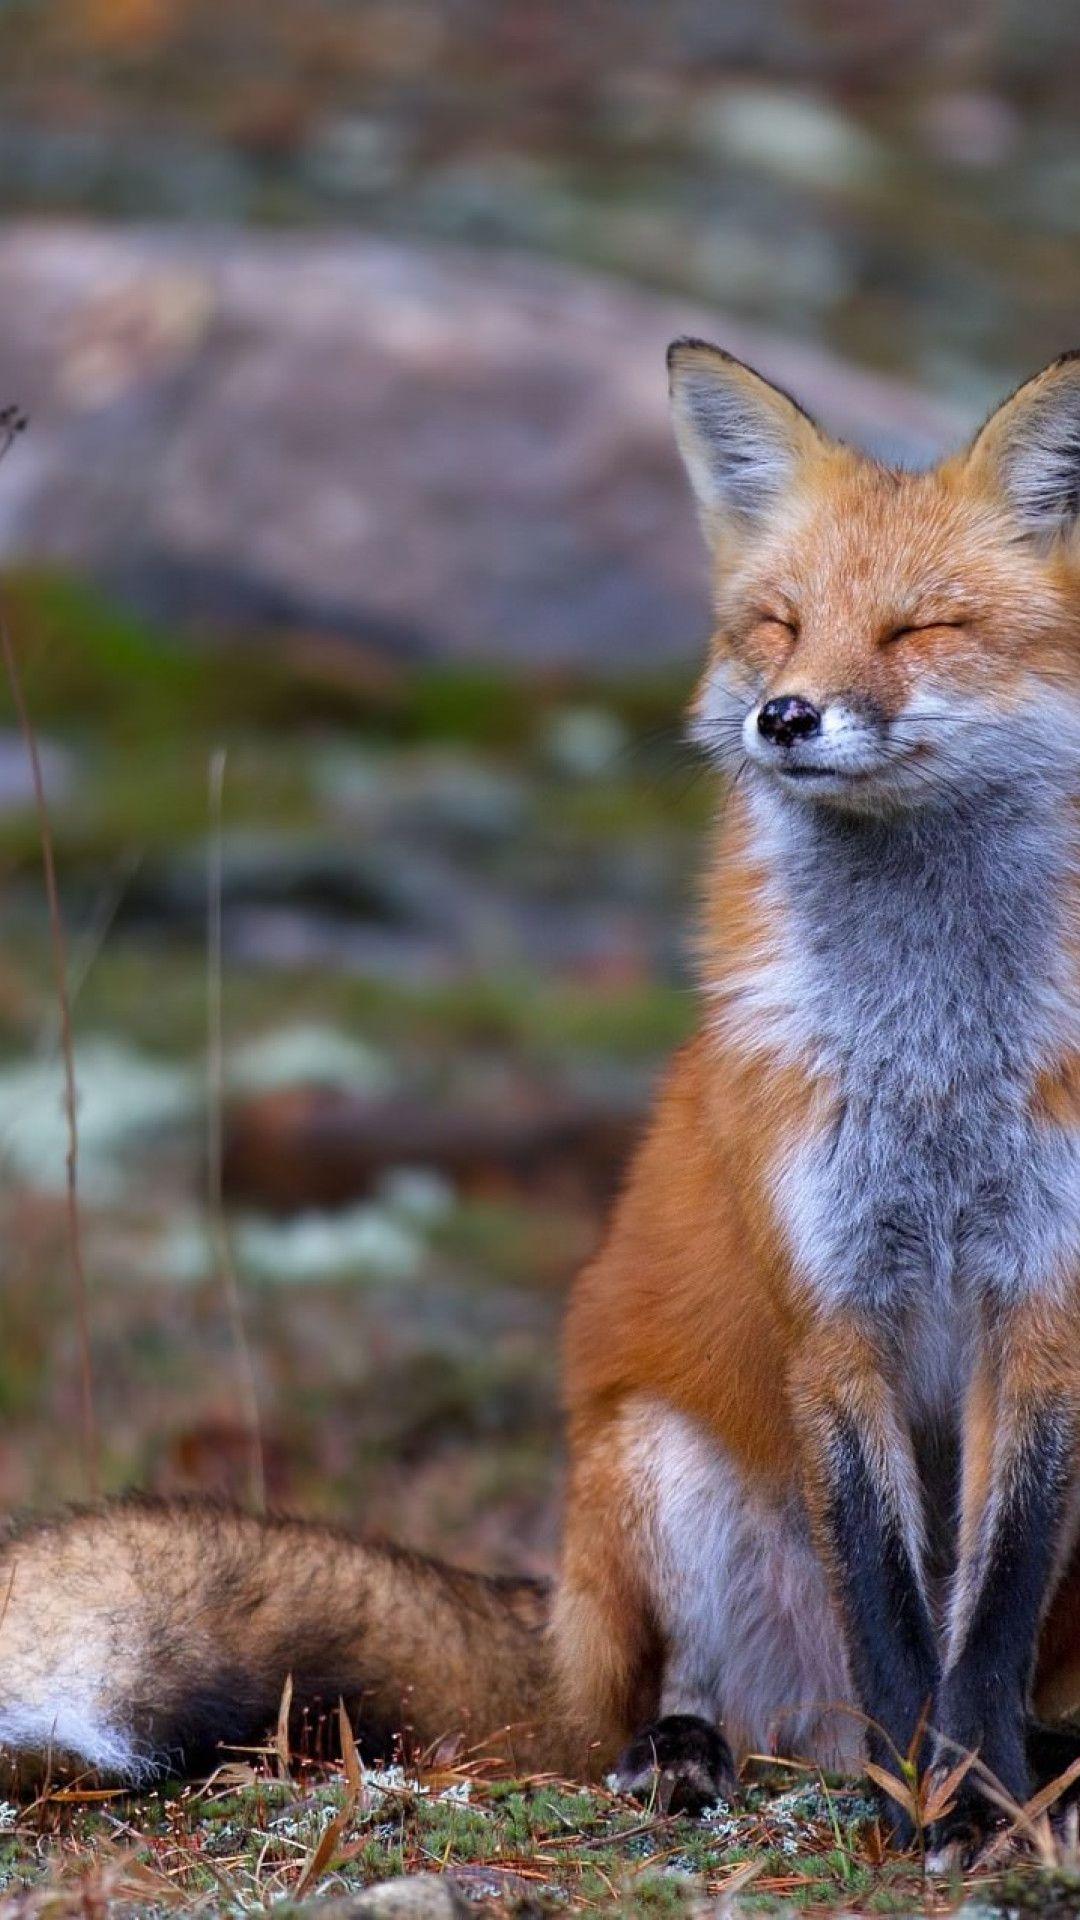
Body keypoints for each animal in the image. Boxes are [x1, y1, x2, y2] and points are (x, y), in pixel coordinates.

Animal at [0, 343, 1079, 1855]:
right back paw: (692, 1756)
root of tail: (556, 1619)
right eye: (779, 625)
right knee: (686, 1706)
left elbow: (988, 1613)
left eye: (921, 627)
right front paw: (926, 1801)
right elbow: (890, 1612)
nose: (785, 716)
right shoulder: (831, 1314)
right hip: (654, 1471)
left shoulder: (1042, 1308)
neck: (930, 1060)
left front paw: (981, 1798)